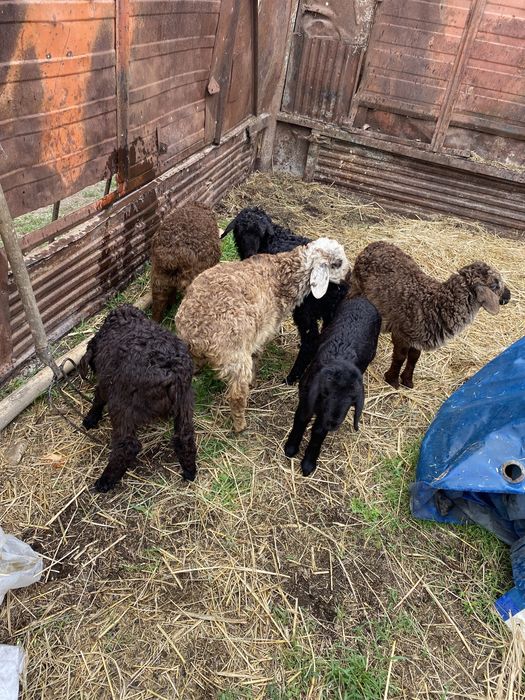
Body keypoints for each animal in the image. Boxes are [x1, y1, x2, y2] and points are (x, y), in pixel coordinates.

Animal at [79, 304, 197, 492]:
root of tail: (172, 371)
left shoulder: (106, 383)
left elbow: (98, 398)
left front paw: (90, 420)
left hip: (121, 403)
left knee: (128, 446)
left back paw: (105, 481)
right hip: (185, 400)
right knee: (185, 436)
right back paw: (189, 472)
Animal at [175, 238, 350, 433]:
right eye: (338, 263)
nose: (348, 275)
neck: (281, 276)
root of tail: (197, 334)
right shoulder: (264, 332)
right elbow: (258, 353)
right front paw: (254, 379)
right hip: (236, 357)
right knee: (236, 395)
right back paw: (240, 425)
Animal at [221, 207, 350, 383]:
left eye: (260, 233)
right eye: (240, 231)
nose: (250, 253)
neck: (272, 240)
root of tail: (339, 284)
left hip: (306, 309)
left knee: (311, 340)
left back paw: (291, 377)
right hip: (330, 312)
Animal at [284, 296, 381, 476]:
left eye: (352, 400)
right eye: (325, 393)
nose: (333, 423)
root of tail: (363, 300)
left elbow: (318, 432)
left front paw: (308, 463)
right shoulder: (307, 397)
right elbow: (301, 419)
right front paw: (291, 448)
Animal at [350, 241, 511, 389]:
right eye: (496, 285)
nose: (509, 296)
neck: (436, 304)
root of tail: (375, 244)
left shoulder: (419, 337)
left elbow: (414, 358)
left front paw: (408, 381)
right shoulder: (401, 333)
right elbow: (400, 357)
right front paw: (392, 380)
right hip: (357, 286)